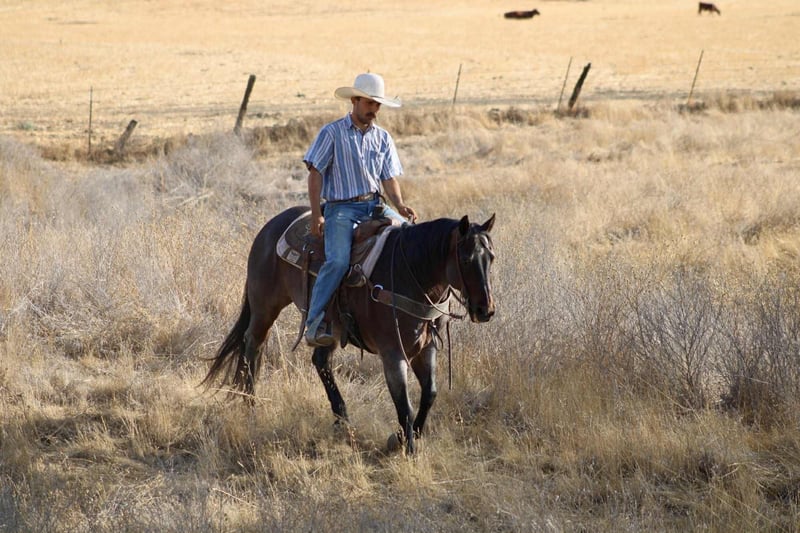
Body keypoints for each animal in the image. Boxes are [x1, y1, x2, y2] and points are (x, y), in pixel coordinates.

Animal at [202, 205, 496, 454]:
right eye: (466, 259)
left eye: (491, 257)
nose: (486, 310)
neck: (410, 273)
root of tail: (271, 225)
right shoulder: (393, 352)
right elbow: (405, 404)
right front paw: (407, 448)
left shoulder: (426, 347)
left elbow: (430, 393)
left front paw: (405, 438)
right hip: (265, 306)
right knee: (253, 344)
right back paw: (249, 403)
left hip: (329, 325)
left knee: (320, 361)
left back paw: (341, 419)